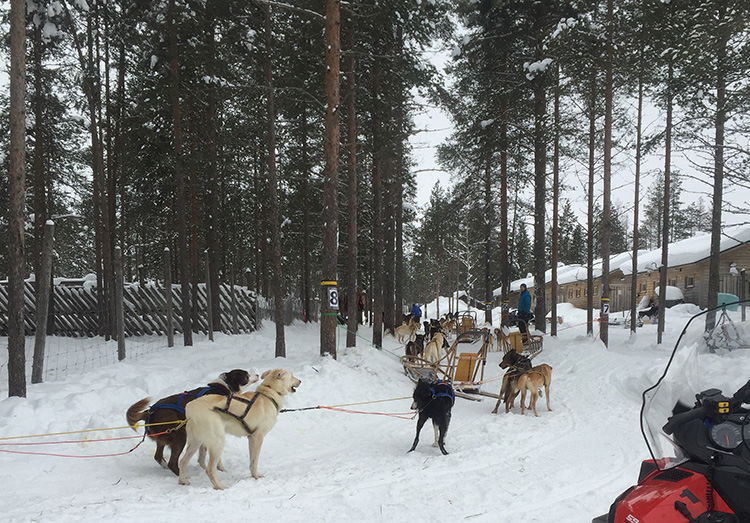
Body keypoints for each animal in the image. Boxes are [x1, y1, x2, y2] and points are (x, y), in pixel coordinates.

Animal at [126, 370, 258, 476]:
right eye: (246, 375)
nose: (257, 374)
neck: (224, 387)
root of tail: (150, 411)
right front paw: (221, 468)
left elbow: (202, 454)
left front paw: (204, 467)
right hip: (180, 435)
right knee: (172, 463)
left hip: (164, 437)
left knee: (158, 457)